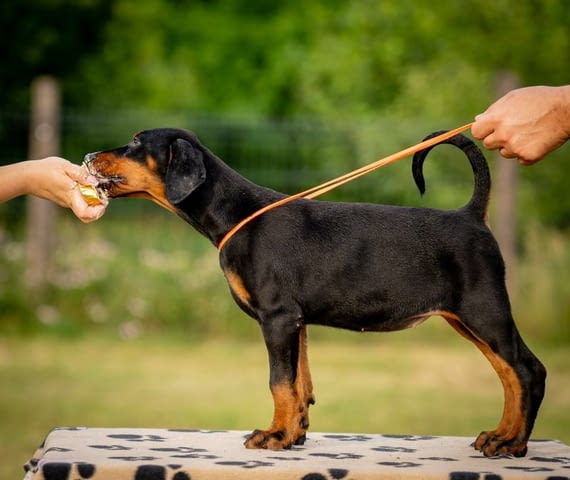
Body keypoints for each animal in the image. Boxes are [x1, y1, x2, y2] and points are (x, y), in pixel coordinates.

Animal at [82, 127, 544, 458]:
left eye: (136, 142)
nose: (87, 157)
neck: (238, 214)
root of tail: (472, 215)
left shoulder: (278, 316)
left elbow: (279, 382)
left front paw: (274, 436)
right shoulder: (296, 321)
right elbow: (300, 382)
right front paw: (295, 433)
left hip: (483, 308)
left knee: (527, 370)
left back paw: (513, 444)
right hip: (466, 318)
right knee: (508, 373)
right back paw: (500, 436)